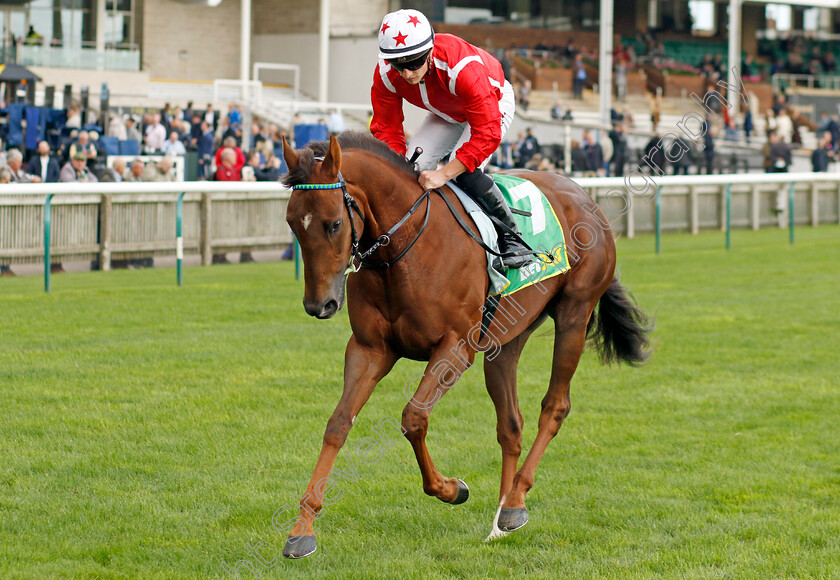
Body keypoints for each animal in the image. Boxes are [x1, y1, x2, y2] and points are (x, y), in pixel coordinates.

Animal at [280, 131, 648, 556]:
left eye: (334, 223)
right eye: (292, 223)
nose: (318, 304)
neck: (402, 250)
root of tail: (584, 196)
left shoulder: (454, 349)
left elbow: (413, 419)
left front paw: (451, 489)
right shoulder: (369, 349)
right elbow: (338, 424)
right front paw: (302, 530)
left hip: (575, 312)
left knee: (554, 408)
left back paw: (515, 502)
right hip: (506, 340)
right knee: (511, 424)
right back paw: (501, 519)